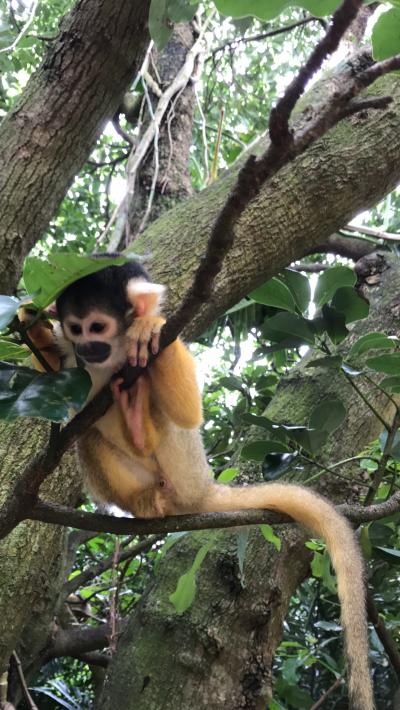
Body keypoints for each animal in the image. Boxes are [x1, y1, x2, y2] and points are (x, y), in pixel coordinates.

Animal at [25, 262, 376, 710]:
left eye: (97, 326)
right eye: (75, 328)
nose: (88, 348)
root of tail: (204, 487)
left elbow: (188, 410)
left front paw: (149, 325)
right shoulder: (72, 363)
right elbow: (54, 381)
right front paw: (32, 324)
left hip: (186, 464)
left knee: (168, 417)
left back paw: (140, 426)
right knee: (86, 433)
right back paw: (140, 484)